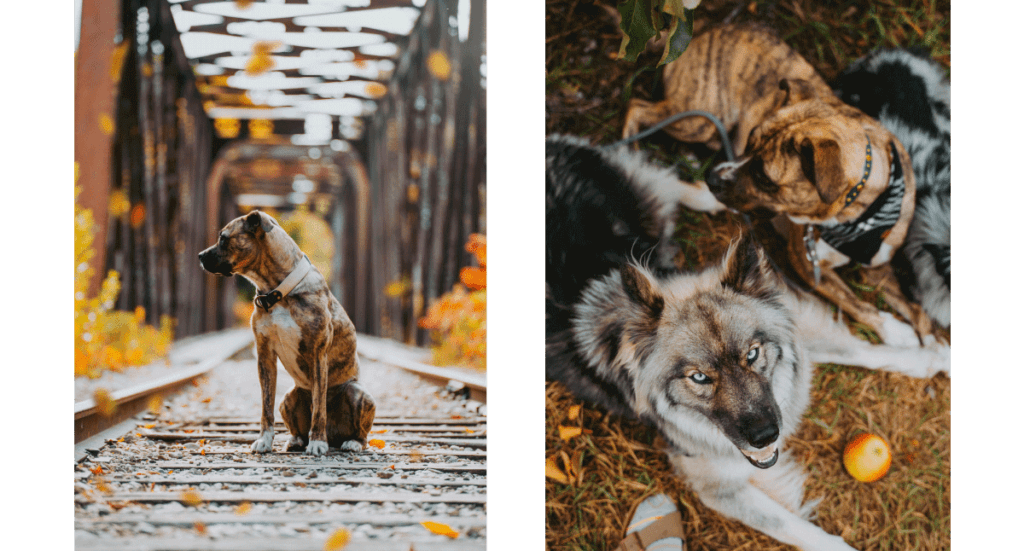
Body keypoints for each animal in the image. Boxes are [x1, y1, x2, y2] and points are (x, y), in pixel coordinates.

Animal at [199, 207, 376, 452]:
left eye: (223, 238)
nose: (200, 255)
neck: (278, 292)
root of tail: (335, 435)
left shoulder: (318, 354)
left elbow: (319, 406)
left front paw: (317, 442)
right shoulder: (265, 356)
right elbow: (266, 407)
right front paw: (264, 440)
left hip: (359, 394)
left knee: (360, 433)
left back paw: (350, 442)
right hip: (289, 398)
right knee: (296, 423)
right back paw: (296, 440)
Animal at [544, 134, 950, 548]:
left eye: (753, 355)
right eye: (699, 378)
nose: (766, 436)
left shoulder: (789, 319)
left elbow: (860, 350)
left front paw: (933, 358)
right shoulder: (718, 486)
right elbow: (796, 529)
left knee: (663, 180)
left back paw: (711, 196)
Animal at [618, 24, 933, 348]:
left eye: (764, 178)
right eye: (750, 141)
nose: (713, 179)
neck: (855, 215)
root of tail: (703, 32)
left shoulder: (877, 265)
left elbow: (917, 309)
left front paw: (933, 344)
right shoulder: (806, 264)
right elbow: (855, 303)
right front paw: (894, 330)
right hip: (697, 119)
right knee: (637, 107)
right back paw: (632, 154)